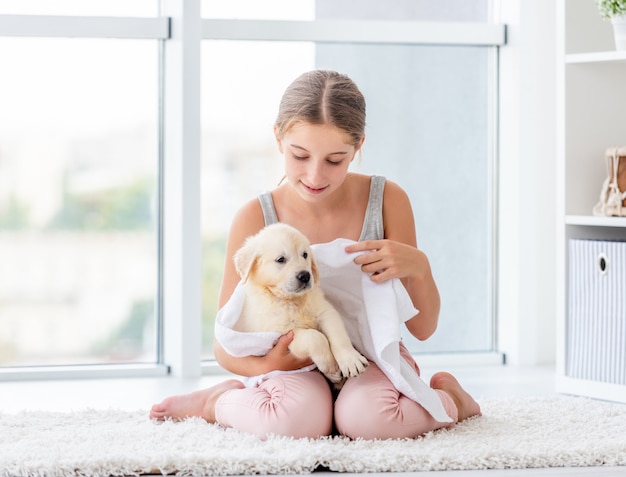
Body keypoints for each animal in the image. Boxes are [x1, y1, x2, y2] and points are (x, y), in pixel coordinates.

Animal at [232, 223, 368, 384]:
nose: (305, 276)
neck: (293, 300)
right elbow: (314, 337)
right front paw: (329, 364)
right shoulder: (282, 332)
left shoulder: (325, 312)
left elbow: (338, 336)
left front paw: (350, 359)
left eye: (305, 255)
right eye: (281, 259)